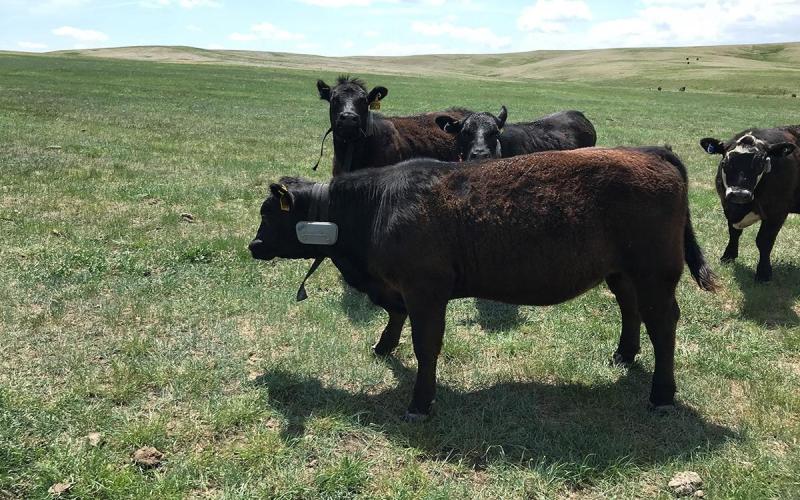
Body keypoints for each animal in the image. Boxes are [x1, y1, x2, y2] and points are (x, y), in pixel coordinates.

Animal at [249, 147, 717, 420]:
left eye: (269, 213)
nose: (253, 245)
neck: (376, 205)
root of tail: (651, 152)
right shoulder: (399, 289)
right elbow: (395, 318)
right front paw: (384, 346)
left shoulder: (425, 290)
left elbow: (426, 346)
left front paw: (420, 402)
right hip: (622, 272)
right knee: (630, 308)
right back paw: (623, 355)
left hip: (656, 273)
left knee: (663, 324)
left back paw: (661, 394)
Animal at [700, 126, 800, 281]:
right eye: (725, 163)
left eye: (760, 164)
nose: (739, 194)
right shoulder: (727, 204)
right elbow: (733, 233)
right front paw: (728, 256)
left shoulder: (778, 212)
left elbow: (764, 241)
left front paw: (764, 272)